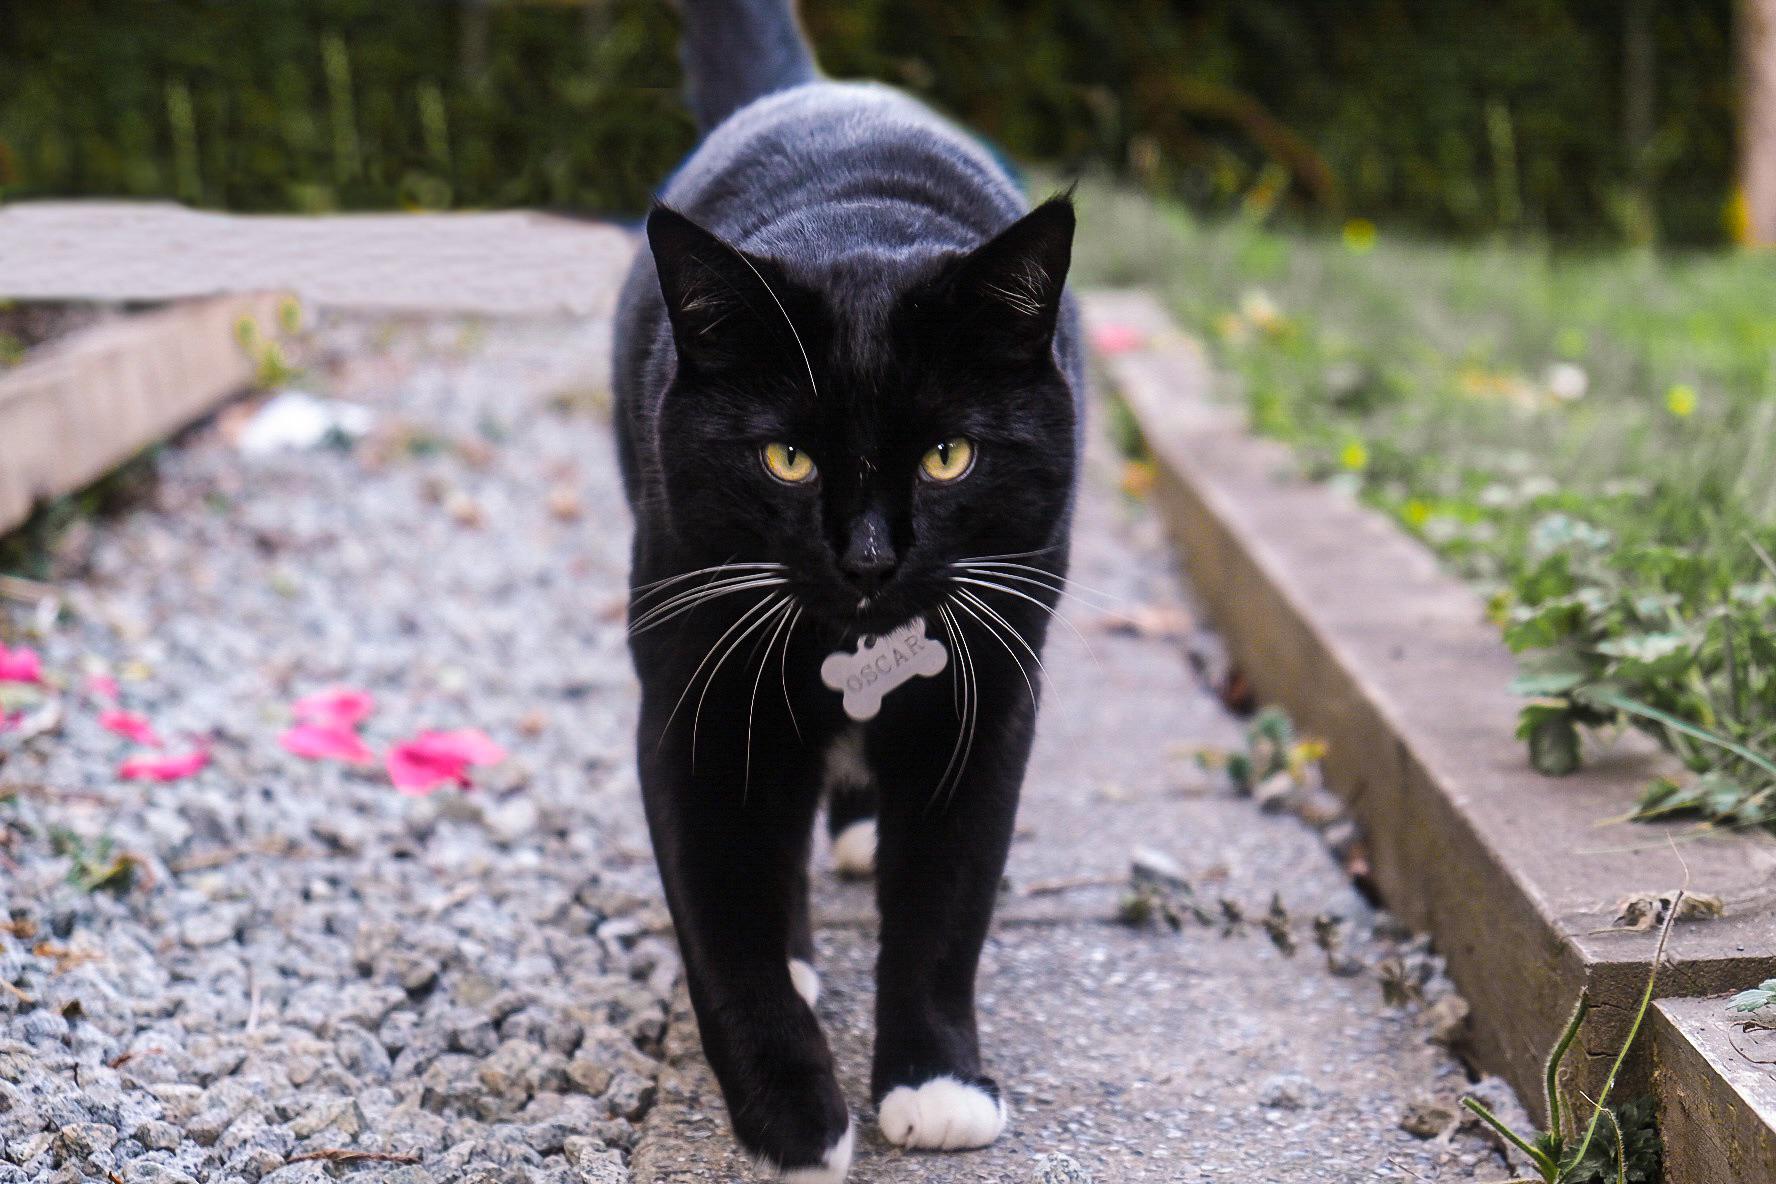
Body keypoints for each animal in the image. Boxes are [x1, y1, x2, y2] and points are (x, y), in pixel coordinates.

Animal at [610, 0, 1079, 1178]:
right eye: (786, 459)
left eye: (950, 456)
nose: (869, 557)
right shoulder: (692, 688)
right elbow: (720, 913)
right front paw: (792, 1116)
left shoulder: (992, 689)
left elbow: (950, 899)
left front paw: (937, 1082)